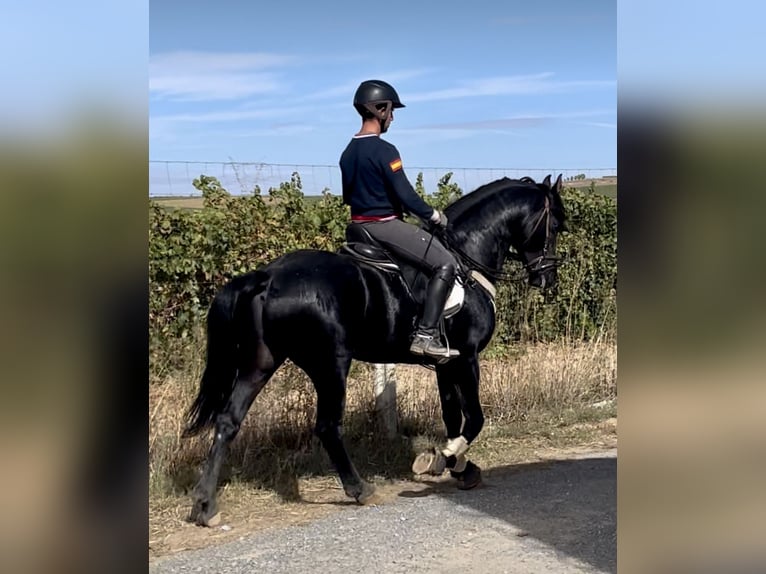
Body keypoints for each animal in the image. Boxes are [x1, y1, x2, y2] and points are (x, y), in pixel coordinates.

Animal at [183, 174, 568, 528]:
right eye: (555, 226)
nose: (547, 278)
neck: (468, 258)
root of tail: (268, 276)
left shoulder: (447, 363)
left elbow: (452, 416)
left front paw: (460, 467)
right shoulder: (468, 357)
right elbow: (473, 418)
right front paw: (444, 458)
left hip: (260, 362)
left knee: (228, 421)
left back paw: (205, 506)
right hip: (331, 364)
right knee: (327, 427)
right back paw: (360, 489)